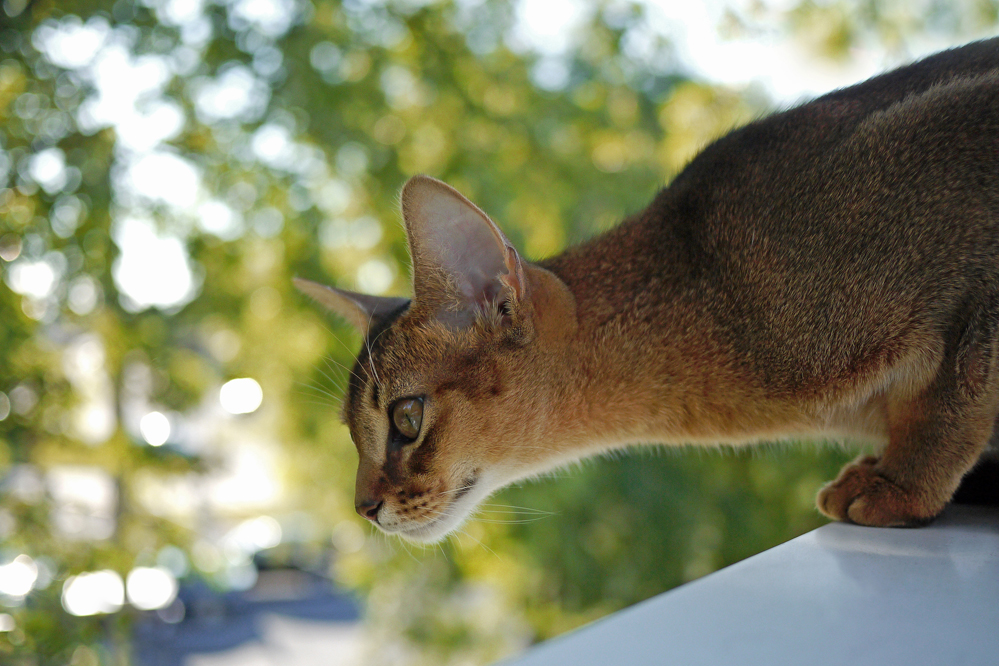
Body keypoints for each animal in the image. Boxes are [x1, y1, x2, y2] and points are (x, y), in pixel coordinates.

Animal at [296, 37, 999, 540]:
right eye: (352, 432)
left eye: (406, 419)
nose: (363, 508)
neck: (703, 287)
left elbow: (961, 384)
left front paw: (904, 483)